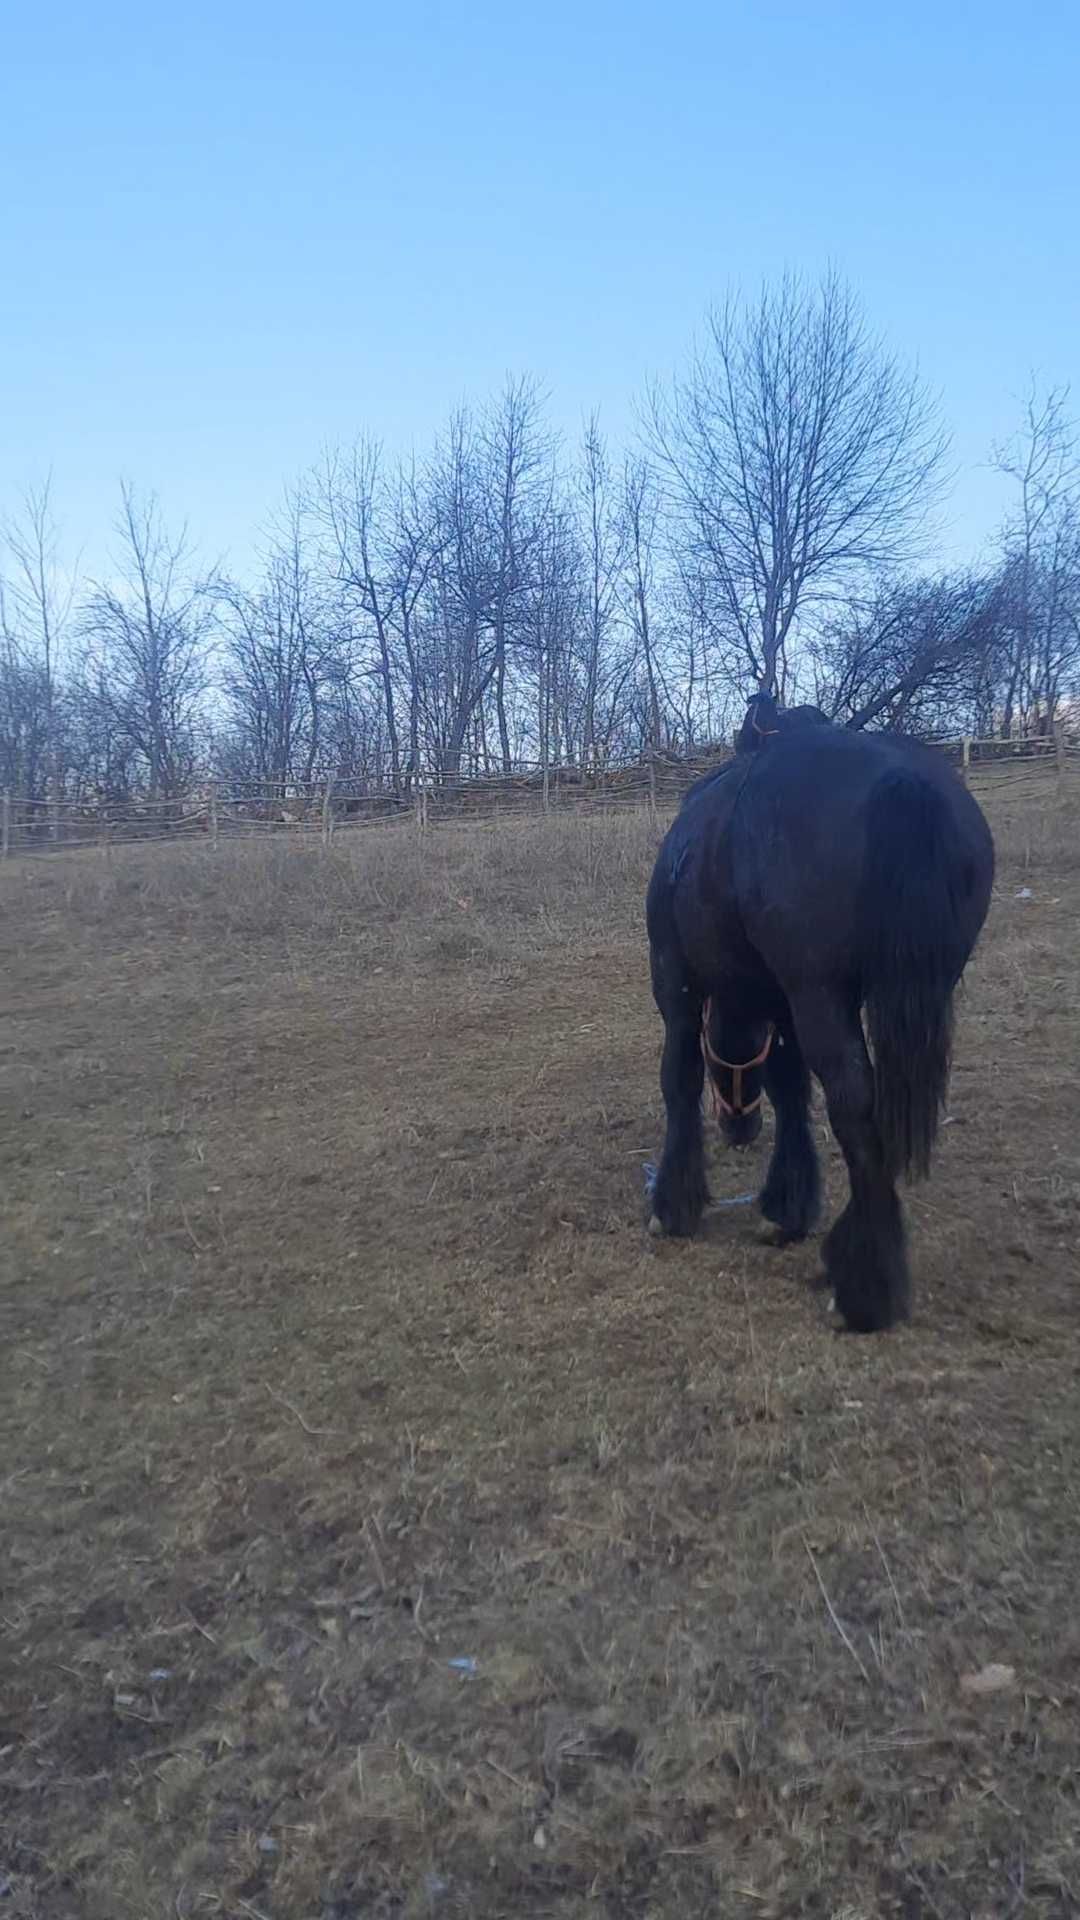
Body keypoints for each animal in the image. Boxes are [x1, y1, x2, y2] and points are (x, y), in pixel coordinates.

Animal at [641, 706, 991, 1336]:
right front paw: (788, 1206)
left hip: (821, 998)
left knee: (856, 1103)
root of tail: (905, 783)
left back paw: (865, 1289)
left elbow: (678, 1080)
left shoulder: (675, 983)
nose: (739, 1128)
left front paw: (673, 1207)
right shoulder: (781, 1004)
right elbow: (789, 1088)